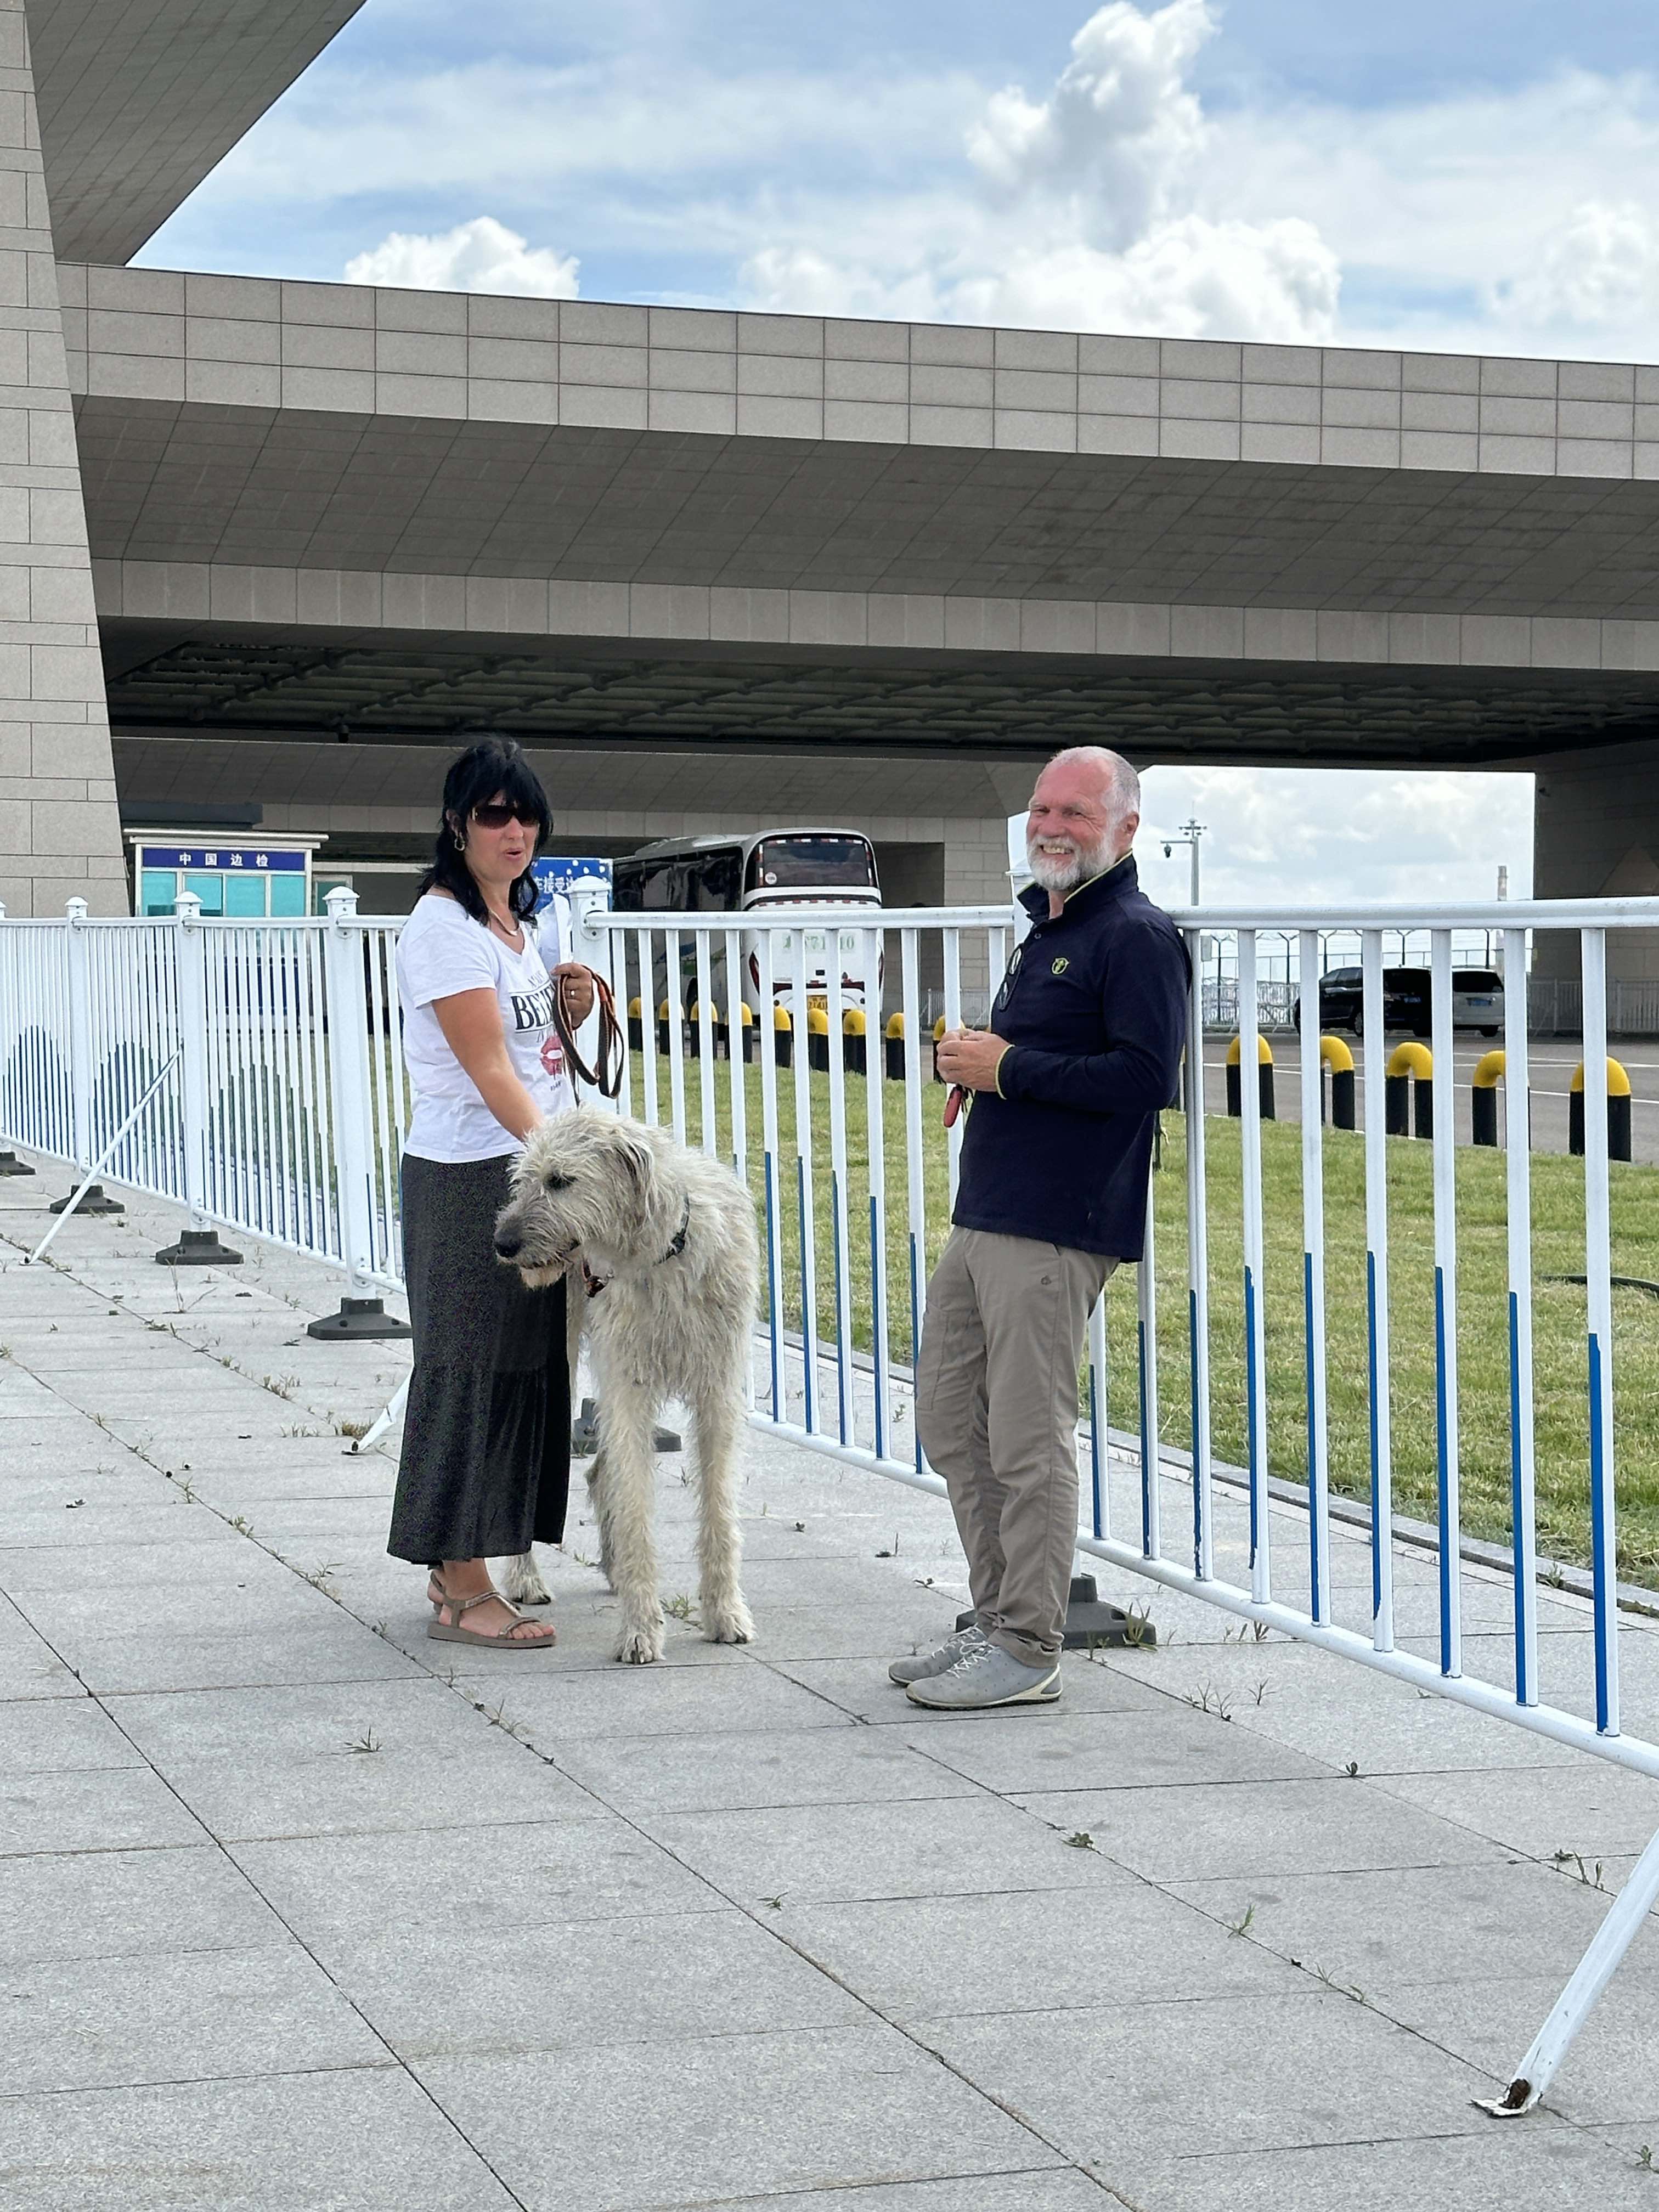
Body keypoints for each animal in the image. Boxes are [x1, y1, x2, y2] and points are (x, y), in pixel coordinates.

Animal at [491, 1107, 759, 1664]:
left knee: (600, 1472)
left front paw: (726, 1614)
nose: (503, 1244)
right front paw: (641, 1630)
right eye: (523, 1180)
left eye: (560, 1180)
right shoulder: (629, 1384)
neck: (663, 1253)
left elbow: (719, 1505)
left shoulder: (718, 1389)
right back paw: (525, 1577)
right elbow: (635, 1506)